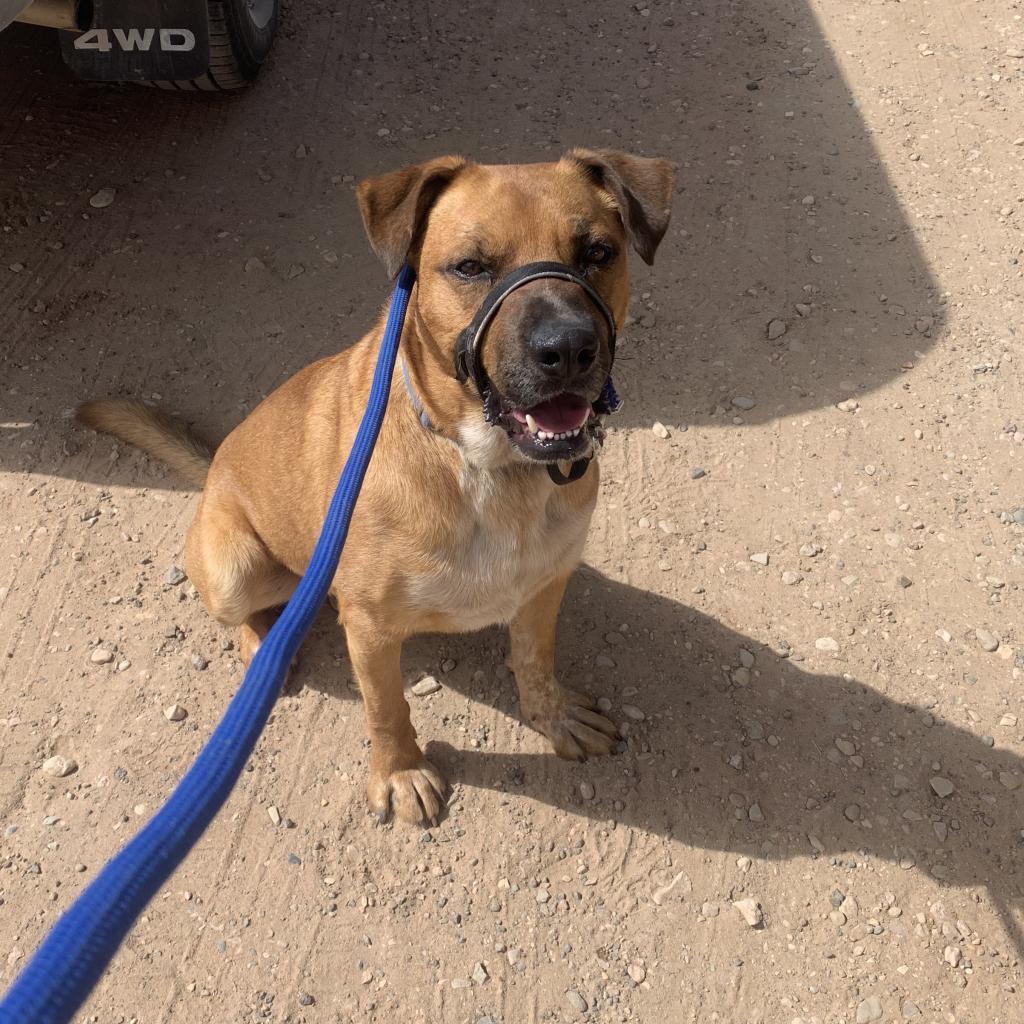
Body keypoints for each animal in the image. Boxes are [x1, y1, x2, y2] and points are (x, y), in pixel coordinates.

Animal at [77, 149, 671, 823]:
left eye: (597, 252)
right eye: (470, 266)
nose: (568, 348)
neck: (481, 464)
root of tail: (213, 473)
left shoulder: (545, 584)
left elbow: (534, 660)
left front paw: (555, 716)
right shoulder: (370, 629)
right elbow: (388, 708)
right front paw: (401, 771)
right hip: (236, 569)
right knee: (235, 617)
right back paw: (265, 651)